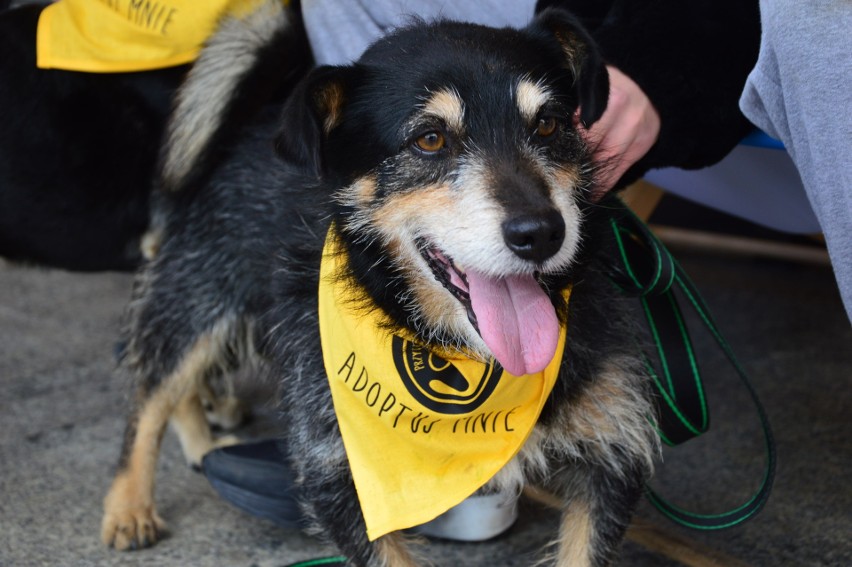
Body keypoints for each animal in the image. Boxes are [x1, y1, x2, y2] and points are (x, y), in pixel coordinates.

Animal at [101, 6, 660, 564]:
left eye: (547, 124)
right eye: (429, 139)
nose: (541, 232)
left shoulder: (611, 458)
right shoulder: (342, 473)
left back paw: (200, 444)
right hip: (196, 296)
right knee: (153, 391)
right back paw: (131, 503)